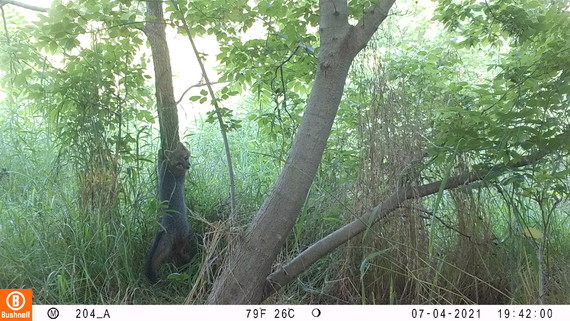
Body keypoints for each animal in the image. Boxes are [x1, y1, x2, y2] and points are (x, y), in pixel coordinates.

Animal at [144, 141, 193, 282]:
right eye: (179, 163)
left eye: (186, 157)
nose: (188, 166)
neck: (169, 168)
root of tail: (167, 226)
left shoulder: (162, 167)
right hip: (184, 234)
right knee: (179, 251)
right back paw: (187, 257)